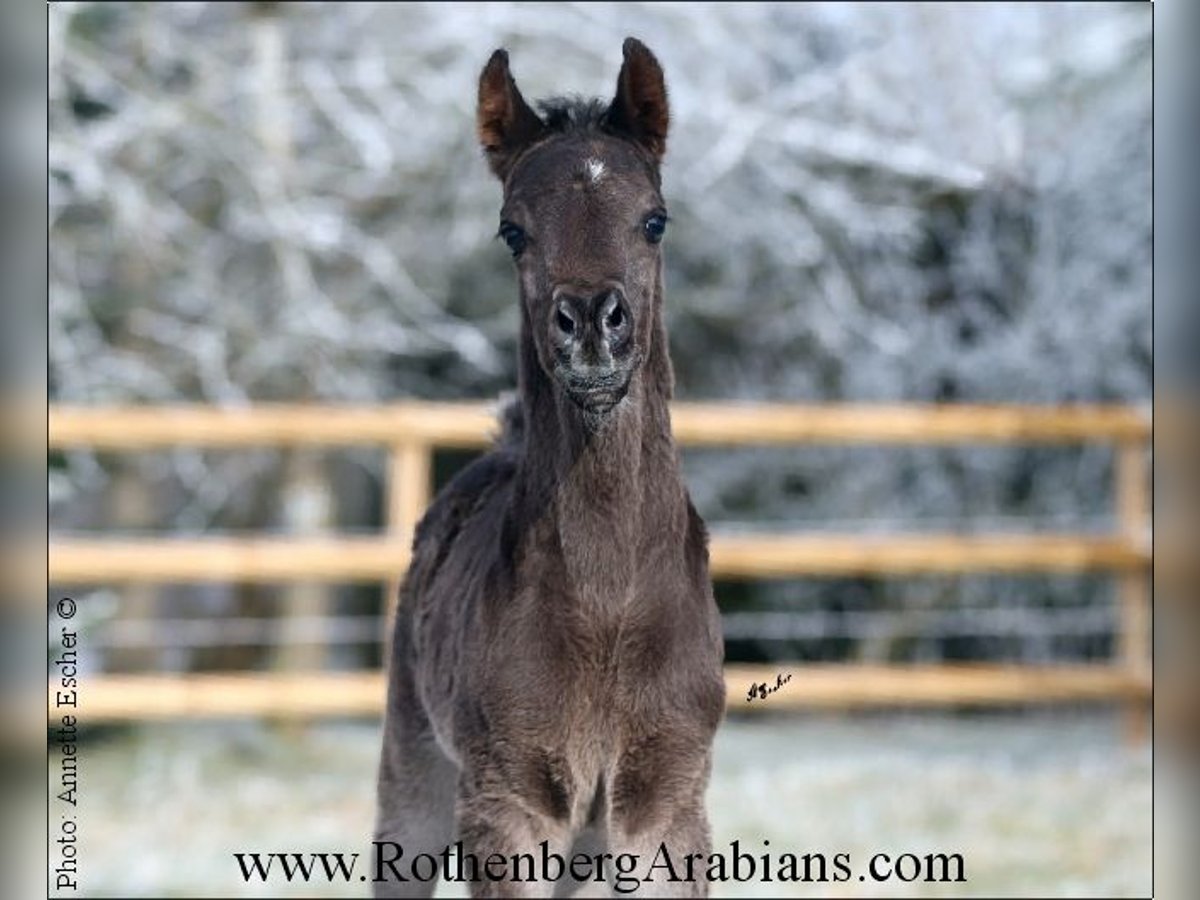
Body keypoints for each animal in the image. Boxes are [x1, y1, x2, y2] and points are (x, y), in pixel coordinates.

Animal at [374, 38, 724, 897]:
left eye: (654, 220)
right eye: (513, 232)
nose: (592, 326)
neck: (608, 612)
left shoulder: (669, 807)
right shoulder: (507, 805)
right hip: (413, 770)